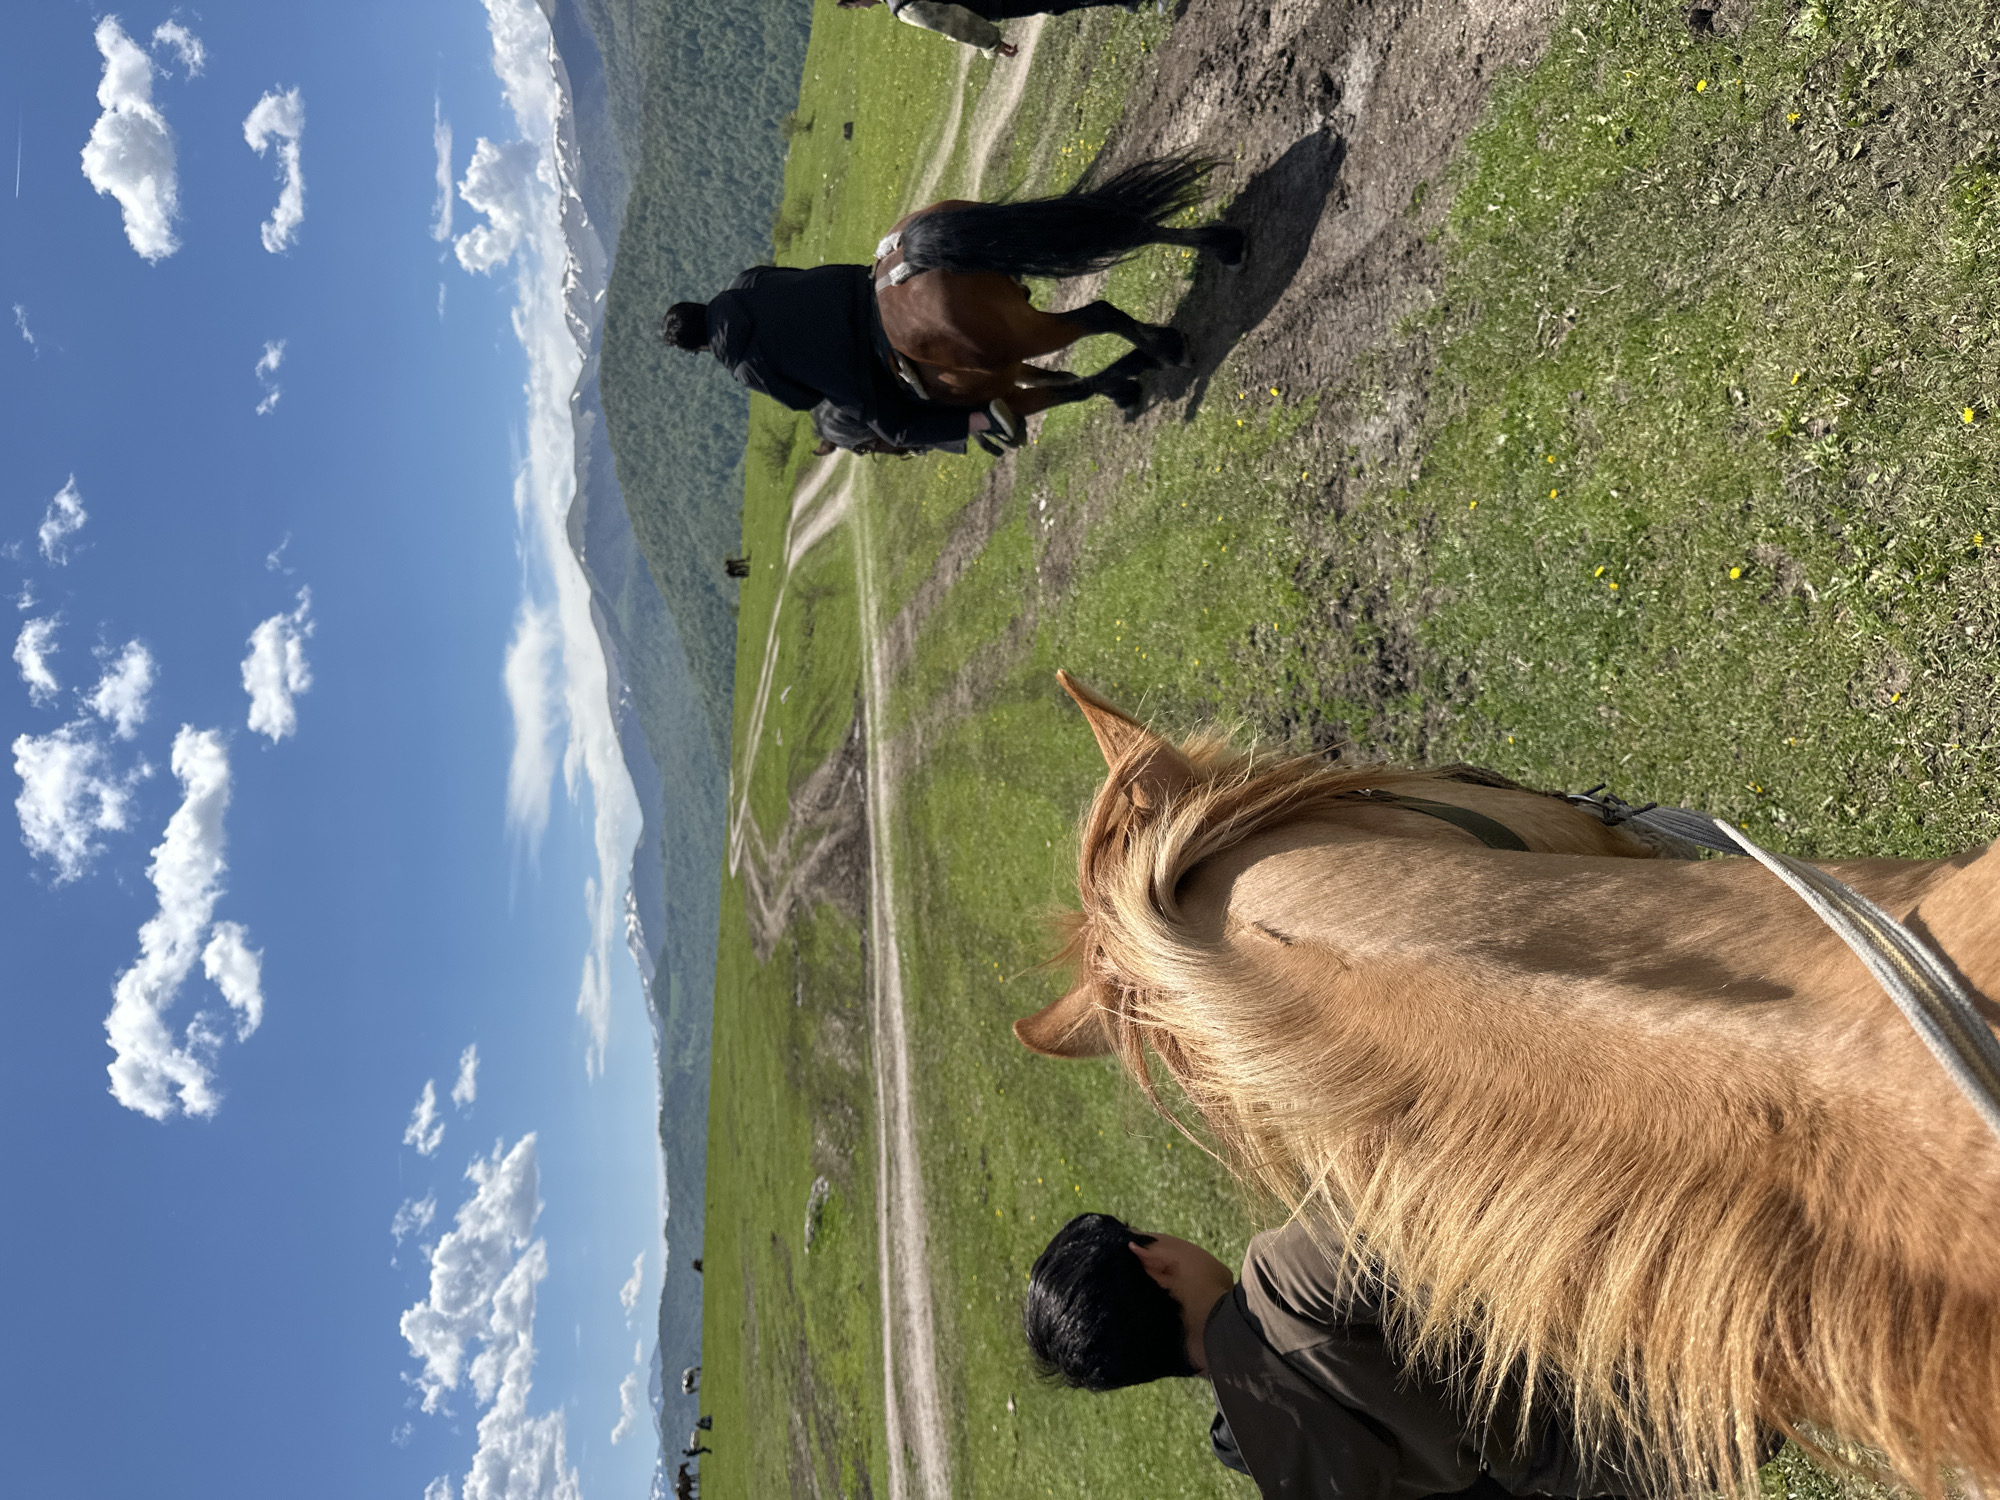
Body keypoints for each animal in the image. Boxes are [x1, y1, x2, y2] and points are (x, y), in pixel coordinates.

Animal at [871, 154, 1243, 425]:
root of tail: (907, 251)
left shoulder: (1006, 396)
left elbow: (1073, 389)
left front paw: (1127, 384)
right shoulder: (1012, 375)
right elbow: (1066, 379)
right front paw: (1128, 378)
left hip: (1026, 332)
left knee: (1099, 313)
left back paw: (1168, 348)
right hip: (1016, 247)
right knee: (1125, 228)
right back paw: (1222, 245)